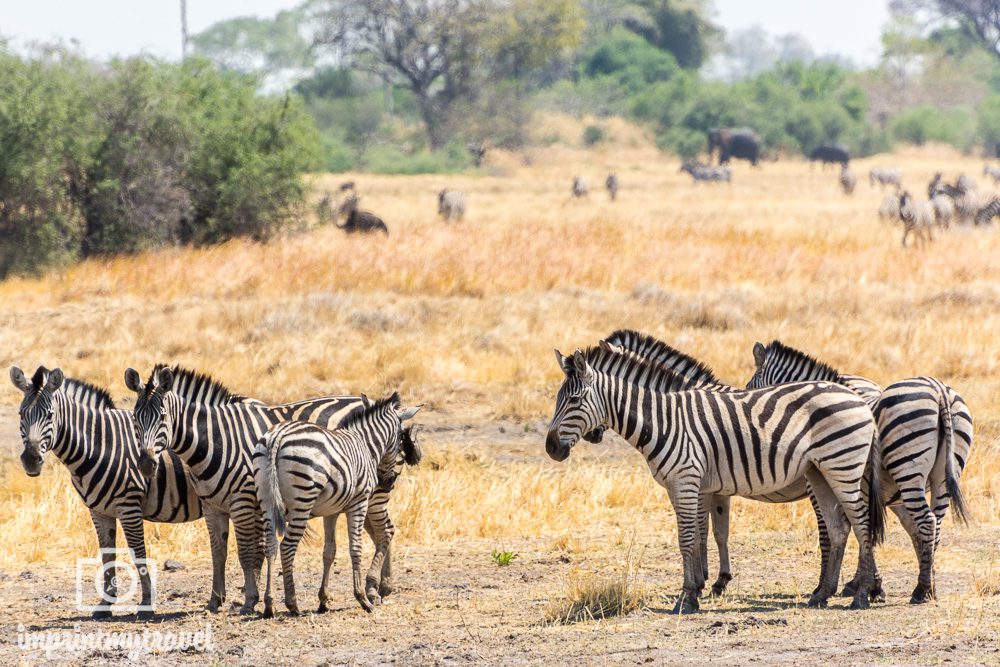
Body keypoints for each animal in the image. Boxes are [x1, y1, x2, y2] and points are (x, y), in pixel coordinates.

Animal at [9, 368, 204, 620]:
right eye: (22, 414)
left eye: (50, 415)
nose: (31, 460)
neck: (100, 445)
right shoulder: (99, 511)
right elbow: (107, 554)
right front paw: (105, 604)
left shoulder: (129, 507)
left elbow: (138, 552)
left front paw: (146, 604)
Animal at [254, 394, 422, 620]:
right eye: (401, 440)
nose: (387, 482)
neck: (365, 444)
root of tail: (277, 436)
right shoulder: (359, 502)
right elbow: (355, 548)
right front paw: (362, 598)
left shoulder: (330, 511)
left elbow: (329, 552)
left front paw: (323, 601)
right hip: (302, 501)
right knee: (287, 547)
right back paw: (293, 604)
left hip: (266, 500)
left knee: (270, 545)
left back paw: (269, 604)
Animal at [548, 348, 884, 612]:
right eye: (557, 399)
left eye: (574, 400)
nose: (551, 448)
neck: (662, 421)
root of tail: (859, 398)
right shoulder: (686, 486)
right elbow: (701, 535)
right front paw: (700, 588)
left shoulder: (687, 480)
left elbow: (688, 538)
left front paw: (687, 599)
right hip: (820, 472)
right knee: (840, 529)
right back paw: (823, 594)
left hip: (843, 465)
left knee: (861, 524)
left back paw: (863, 594)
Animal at [748, 342, 972, 604]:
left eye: (750, 390)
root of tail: (939, 391)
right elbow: (865, 530)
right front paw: (871, 586)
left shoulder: (822, 484)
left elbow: (833, 531)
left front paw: (838, 586)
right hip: (943, 475)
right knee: (935, 523)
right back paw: (930, 587)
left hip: (907, 466)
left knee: (927, 521)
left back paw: (920, 591)